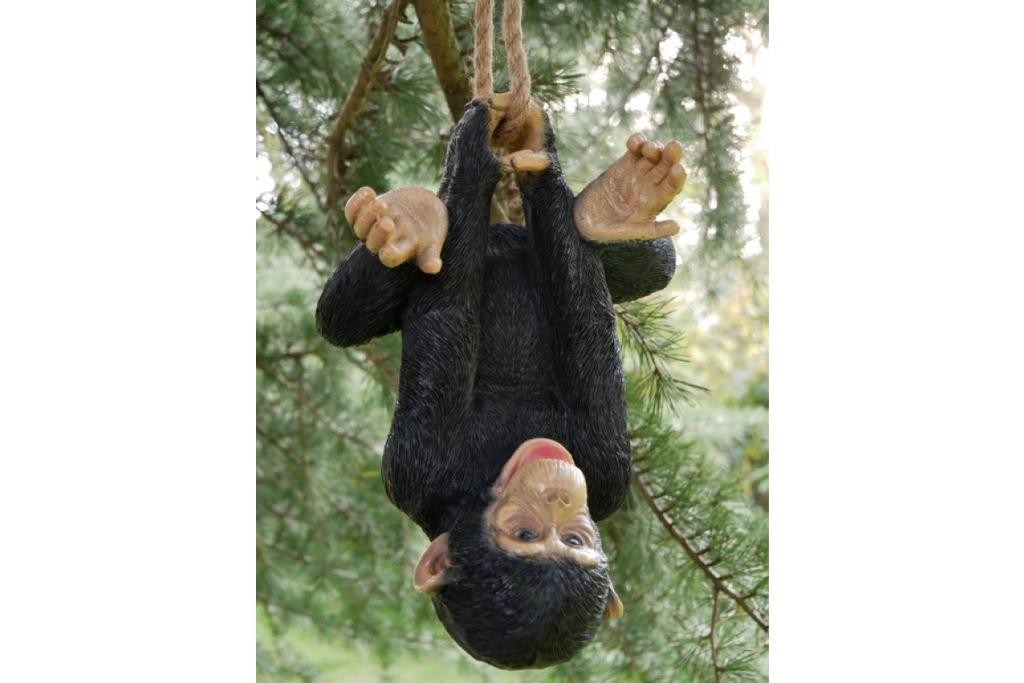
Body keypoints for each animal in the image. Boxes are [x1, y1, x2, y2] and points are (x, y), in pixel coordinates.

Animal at [317, 97, 686, 668]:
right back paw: (405, 226)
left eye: (573, 542)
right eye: (527, 534)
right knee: (342, 316)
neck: (498, 466)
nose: (558, 495)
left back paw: (611, 212)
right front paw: (484, 150)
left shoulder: (602, 471)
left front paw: (511, 155)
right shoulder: (418, 462)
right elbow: (448, 309)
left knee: (639, 266)